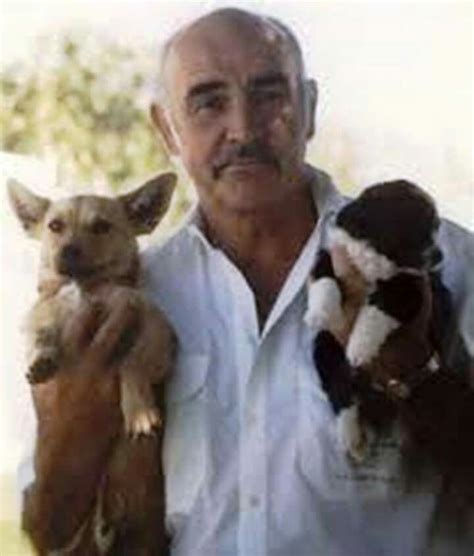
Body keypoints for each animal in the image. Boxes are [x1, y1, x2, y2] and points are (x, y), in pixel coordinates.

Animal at [7, 173, 178, 552]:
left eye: (101, 227)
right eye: (55, 226)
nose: (68, 249)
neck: (88, 290)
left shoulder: (159, 335)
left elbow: (133, 363)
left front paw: (138, 410)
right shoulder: (38, 314)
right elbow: (41, 331)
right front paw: (41, 357)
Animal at [306, 180, 442, 462]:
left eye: (436, 228)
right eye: (416, 228)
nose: (440, 257)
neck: (375, 259)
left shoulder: (410, 289)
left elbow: (377, 310)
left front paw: (360, 347)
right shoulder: (331, 254)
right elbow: (324, 278)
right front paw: (321, 312)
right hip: (326, 348)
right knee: (341, 393)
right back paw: (352, 438)